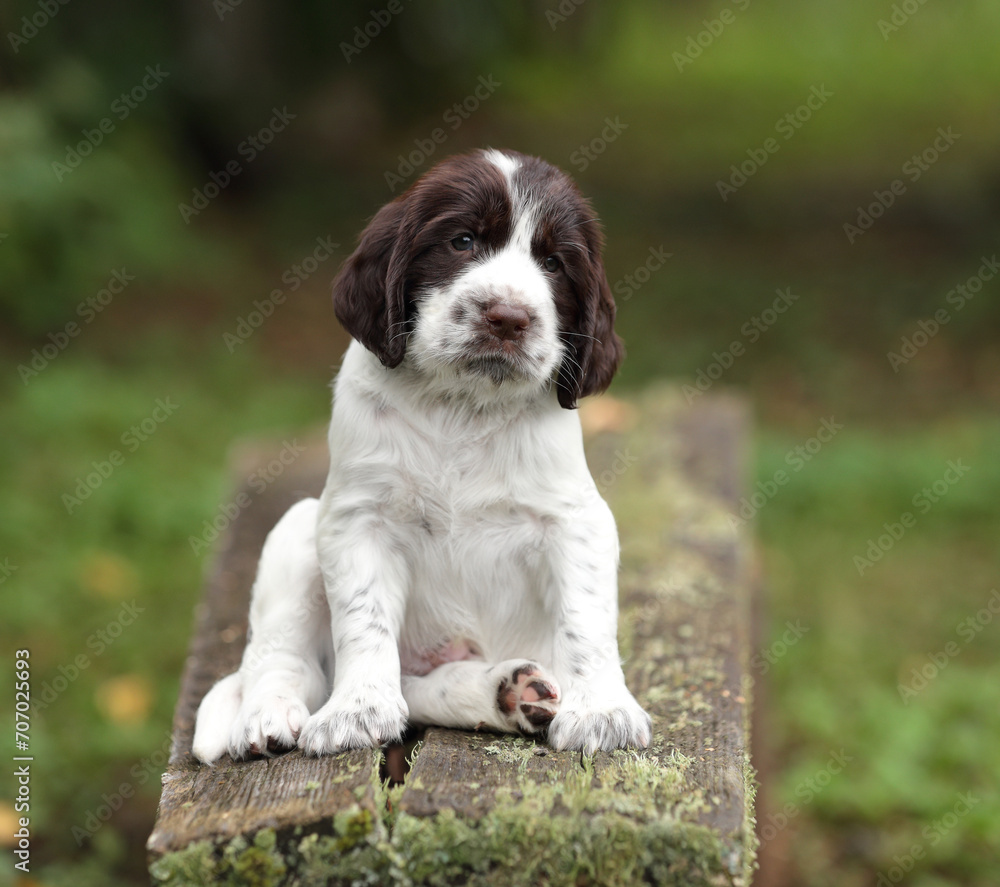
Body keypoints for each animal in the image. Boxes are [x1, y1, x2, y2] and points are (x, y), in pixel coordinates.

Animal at [192, 147, 652, 764]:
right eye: (462, 241)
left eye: (554, 263)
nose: (508, 317)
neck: (461, 407)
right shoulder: (356, 519)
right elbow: (363, 621)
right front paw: (356, 711)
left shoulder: (576, 521)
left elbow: (587, 621)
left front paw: (603, 711)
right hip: (296, 530)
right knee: (282, 658)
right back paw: (266, 717)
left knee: (423, 690)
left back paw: (511, 692)